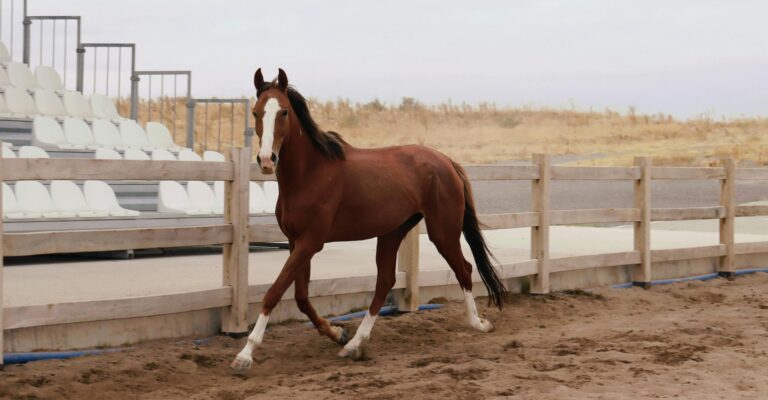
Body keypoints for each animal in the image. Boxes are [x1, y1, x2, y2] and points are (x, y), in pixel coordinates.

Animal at [231, 68, 507, 370]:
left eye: (283, 111)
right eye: (256, 112)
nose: (266, 159)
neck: (309, 175)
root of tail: (446, 161)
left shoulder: (310, 243)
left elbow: (275, 291)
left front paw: (245, 354)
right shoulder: (296, 242)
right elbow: (301, 297)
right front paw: (337, 332)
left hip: (442, 232)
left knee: (464, 269)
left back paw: (478, 324)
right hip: (392, 232)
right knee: (384, 282)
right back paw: (353, 344)